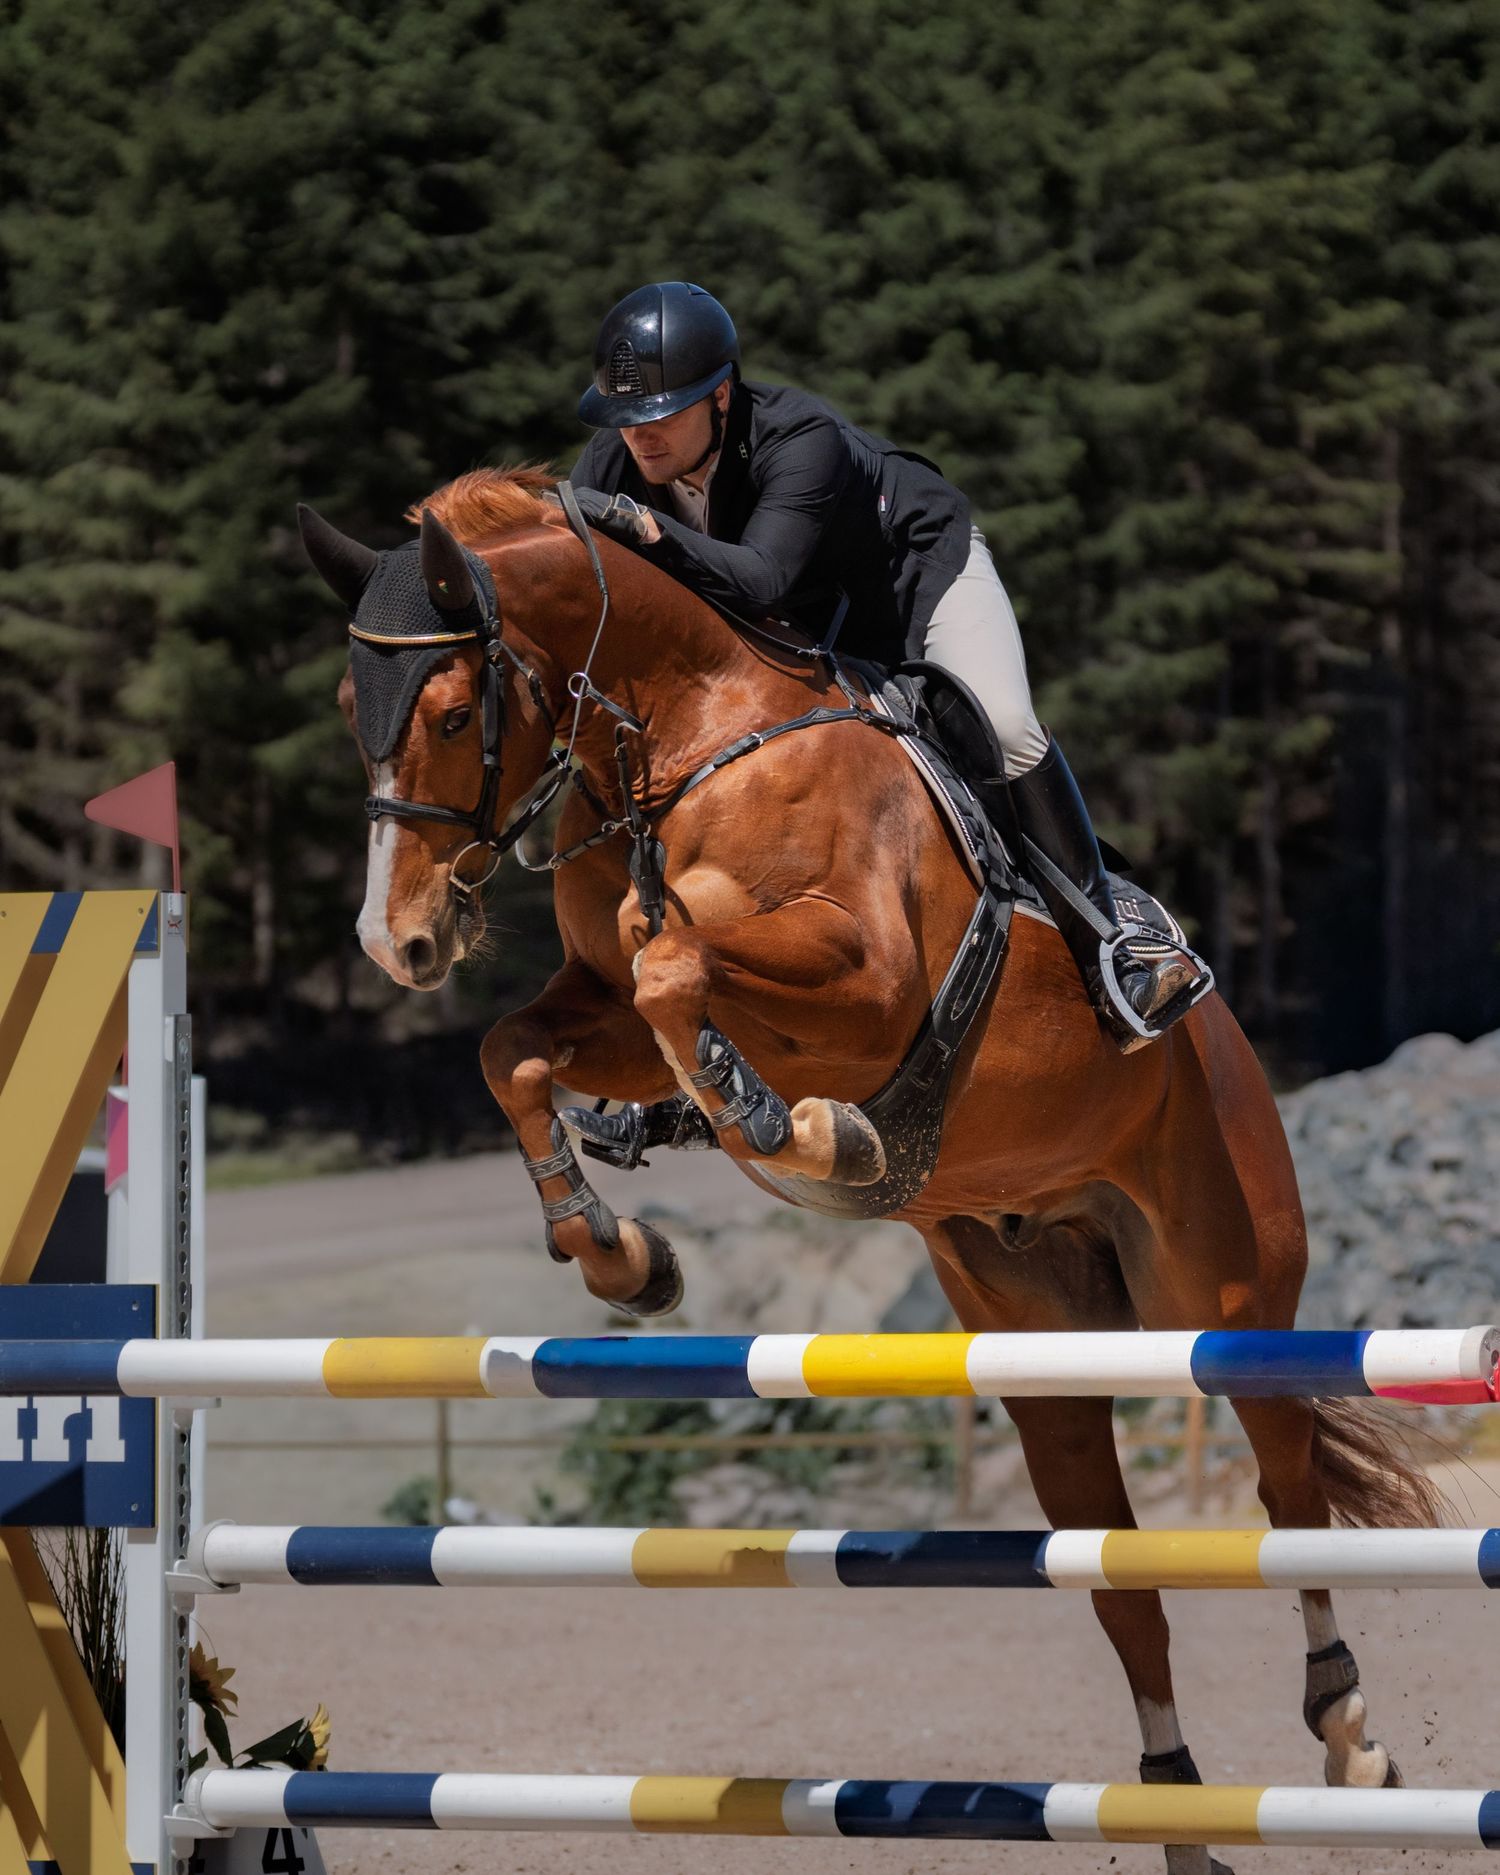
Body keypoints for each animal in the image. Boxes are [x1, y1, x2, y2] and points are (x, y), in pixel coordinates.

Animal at [300, 467, 1438, 1875]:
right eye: (351, 709)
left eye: (456, 713)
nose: (394, 941)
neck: (681, 744)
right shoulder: (598, 1006)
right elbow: (521, 1044)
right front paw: (621, 1254)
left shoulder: (870, 981)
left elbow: (677, 964)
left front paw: (804, 1133)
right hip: (1046, 1355)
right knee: (1117, 1577)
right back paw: (1177, 1813)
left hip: (1225, 1299)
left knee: (1285, 1491)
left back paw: (1351, 1734)